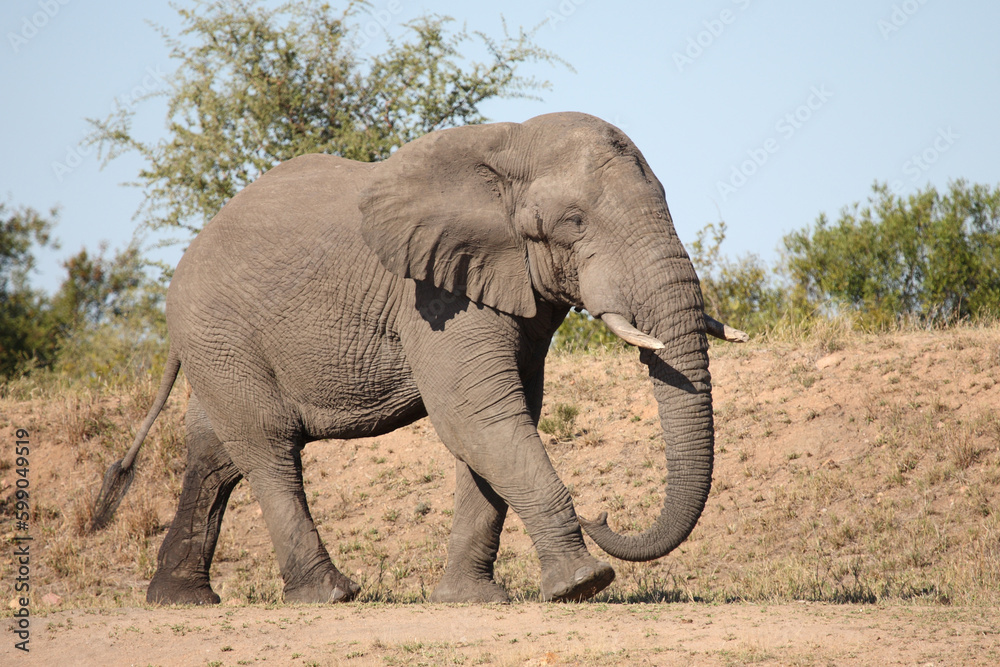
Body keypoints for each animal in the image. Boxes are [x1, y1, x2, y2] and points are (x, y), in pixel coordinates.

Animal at [90, 112, 747, 605]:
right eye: (573, 221)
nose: (602, 517)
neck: (505, 145)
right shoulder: (432, 294)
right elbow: (477, 415)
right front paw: (584, 585)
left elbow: (500, 419)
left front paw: (472, 601)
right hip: (219, 332)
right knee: (267, 446)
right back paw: (329, 595)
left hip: (220, 345)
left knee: (216, 450)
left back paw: (180, 600)